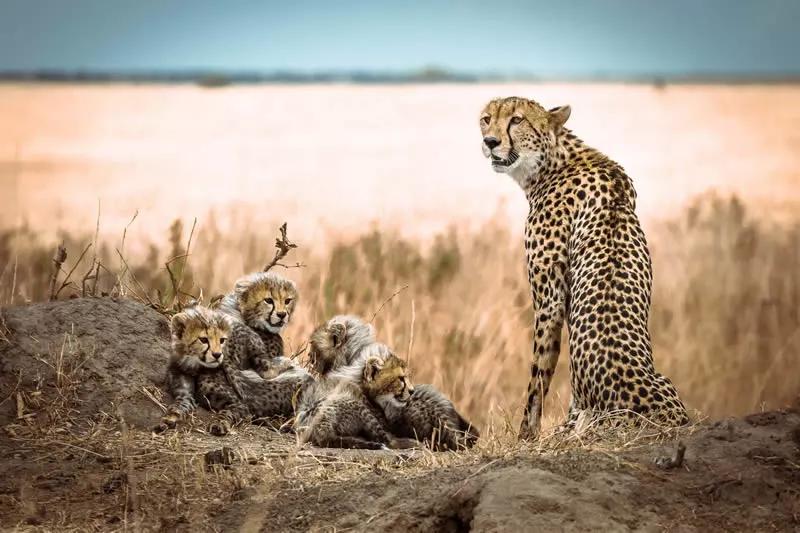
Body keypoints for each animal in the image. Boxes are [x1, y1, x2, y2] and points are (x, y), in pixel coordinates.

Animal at [479, 96, 689, 440]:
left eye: (516, 120)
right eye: (486, 119)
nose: (490, 142)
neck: (553, 161)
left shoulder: (548, 302)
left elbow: (539, 375)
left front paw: (526, 437)